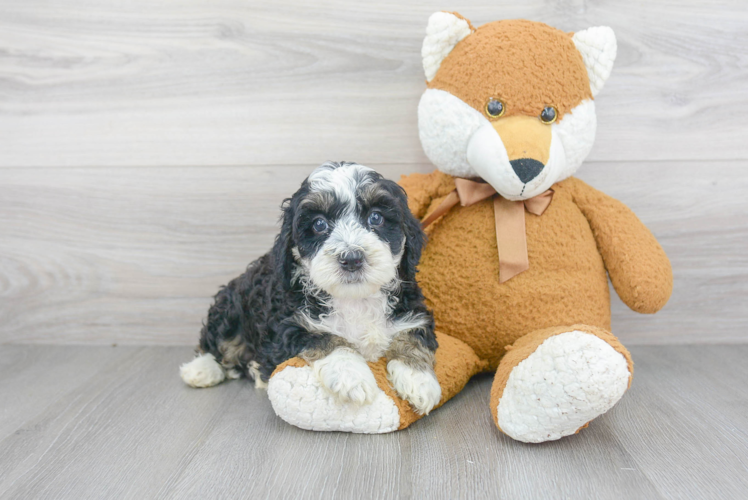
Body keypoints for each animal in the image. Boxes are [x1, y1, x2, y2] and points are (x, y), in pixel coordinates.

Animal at [179, 161, 442, 414]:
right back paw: (201, 370)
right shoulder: (288, 326)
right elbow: (327, 339)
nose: (352, 258)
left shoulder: (414, 312)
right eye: (319, 224)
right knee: (215, 342)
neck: (354, 299)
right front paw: (353, 377)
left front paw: (419, 380)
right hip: (231, 305)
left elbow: (413, 337)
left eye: (376, 218)